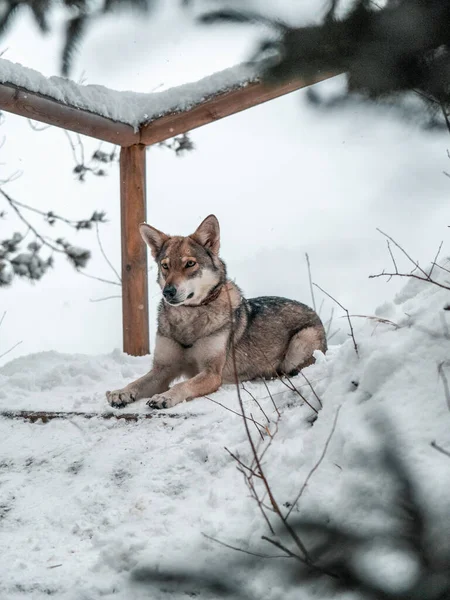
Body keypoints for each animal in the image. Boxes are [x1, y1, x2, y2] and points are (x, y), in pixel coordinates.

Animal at [108, 213, 326, 410]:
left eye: (190, 263)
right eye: (165, 266)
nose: (168, 291)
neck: (188, 317)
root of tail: (313, 311)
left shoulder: (212, 373)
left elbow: (182, 384)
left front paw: (164, 397)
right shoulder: (162, 369)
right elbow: (138, 382)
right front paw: (121, 392)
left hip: (298, 347)